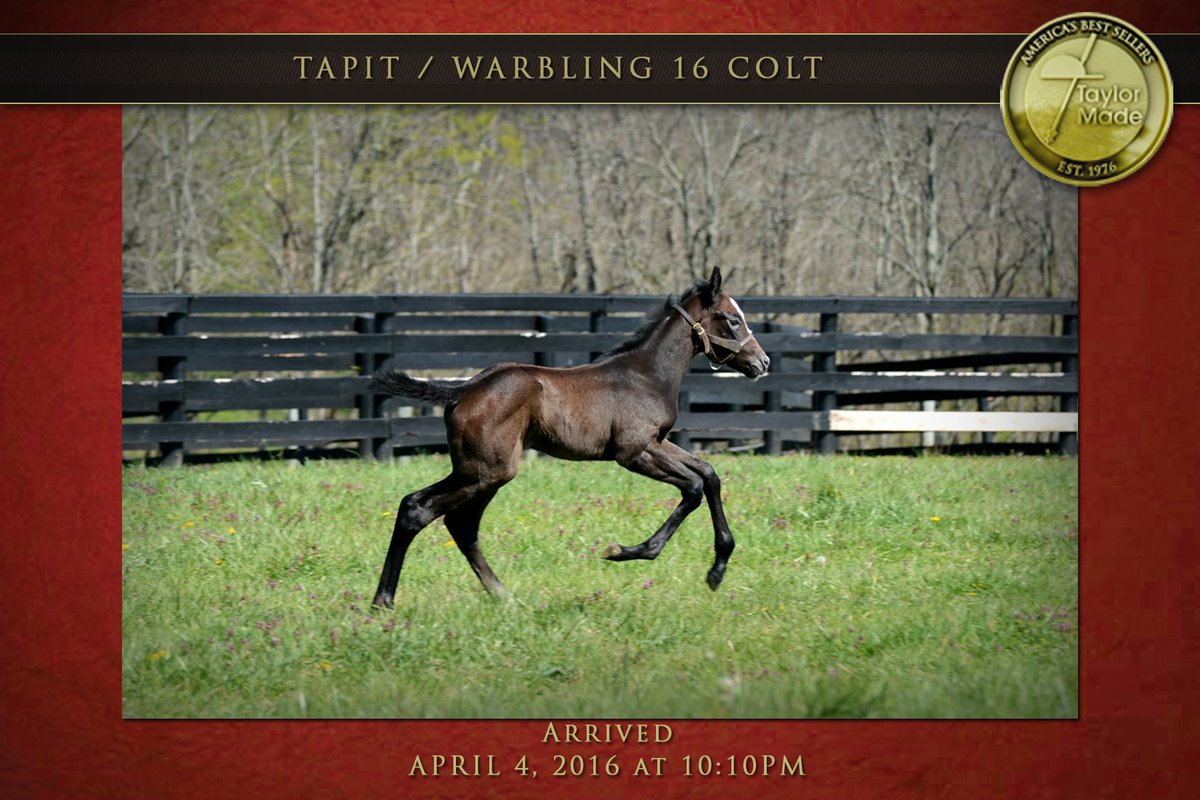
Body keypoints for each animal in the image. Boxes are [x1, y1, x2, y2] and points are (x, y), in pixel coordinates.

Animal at [368, 267, 770, 608]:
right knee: (419, 509)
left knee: (457, 523)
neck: (646, 375)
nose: (762, 362)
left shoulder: (658, 442)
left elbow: (709, 474)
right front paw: (625, 551)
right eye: (732, 319)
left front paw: (717, 571)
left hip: (483, 473)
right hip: (485, 471)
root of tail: (463, 390)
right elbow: (693, 487)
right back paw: (383, 601)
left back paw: (502, 595)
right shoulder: (635, 451)